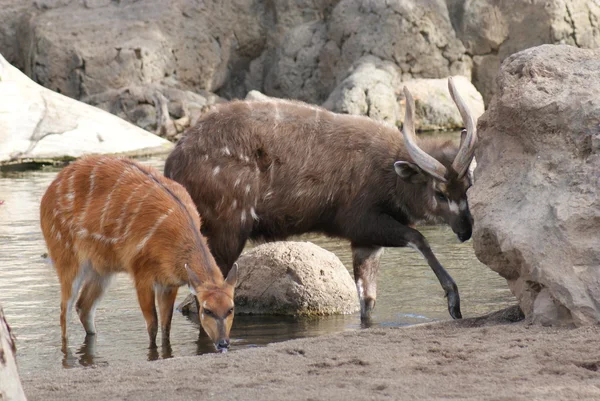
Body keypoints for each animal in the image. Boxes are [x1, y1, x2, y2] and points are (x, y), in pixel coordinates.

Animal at [165, 77, 478, 322]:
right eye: (440, 192)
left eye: (468, 185)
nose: (466, 230)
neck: (389, 174)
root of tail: (173, 164)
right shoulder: (362, 222)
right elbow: (419, 238)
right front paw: (454, 302)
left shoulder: (365, 241)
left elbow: (367, 303)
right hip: (228, 230)